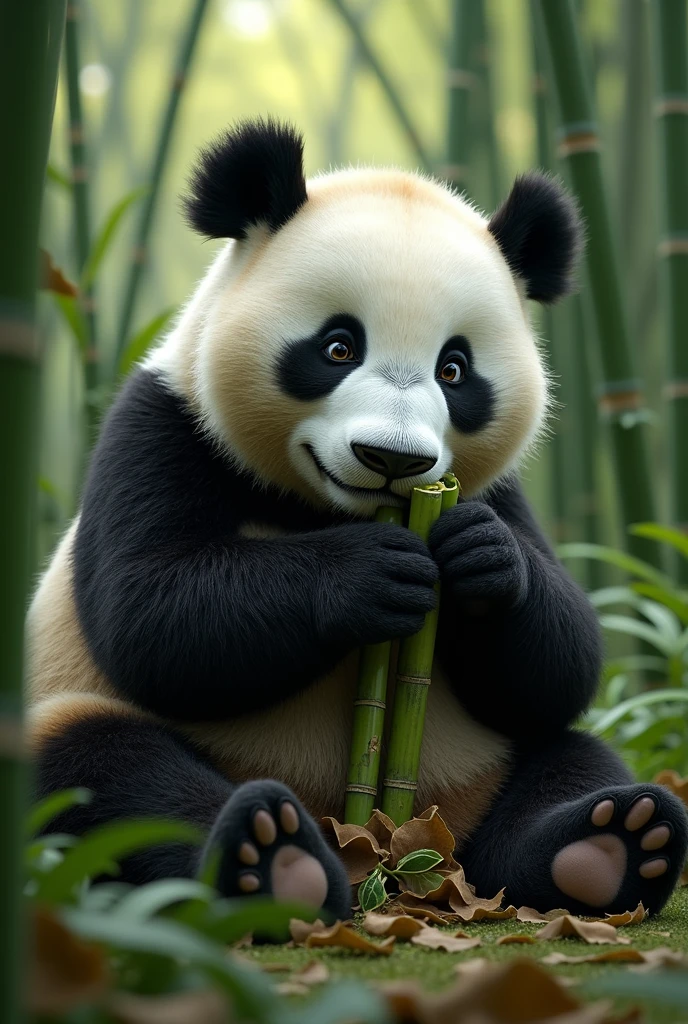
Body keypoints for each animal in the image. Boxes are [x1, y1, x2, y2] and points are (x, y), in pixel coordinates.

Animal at [26, 119, 688, 921]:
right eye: (338, 346)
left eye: (454, 369)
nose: (393, 458)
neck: (319, 507)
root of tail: (388, 849)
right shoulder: (163, 427)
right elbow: (151, 616)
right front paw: (369, 575)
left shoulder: (494, 490)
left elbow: (563, 661)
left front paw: (482, 559)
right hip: (65, 719)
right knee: (105, 772)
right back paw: (273, 861)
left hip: (483, 771)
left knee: (565, 751)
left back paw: (607, 845)